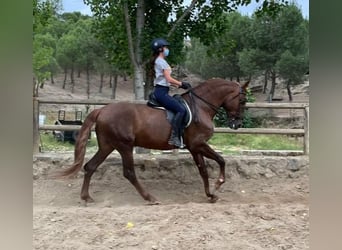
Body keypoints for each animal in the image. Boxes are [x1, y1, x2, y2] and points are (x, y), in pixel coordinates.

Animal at [55, 77, 248, 203]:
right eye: (243, 100)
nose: (237, 124)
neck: (201, 106)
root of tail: (102, 110)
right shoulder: (198, 144)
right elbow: (221, 160)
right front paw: (219, 184)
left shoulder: (194, 148)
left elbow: (204, 171)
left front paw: (210, 195)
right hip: (124, 146)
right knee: (129, 173)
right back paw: (149, 197)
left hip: (107, 146)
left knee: (91, 166)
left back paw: (86, 197)